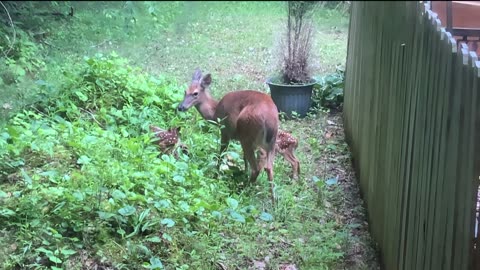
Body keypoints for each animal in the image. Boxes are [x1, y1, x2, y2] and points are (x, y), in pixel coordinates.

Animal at [177, 68, 280, 201]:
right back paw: (273, 199)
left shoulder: (225, 131)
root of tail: (270, 120)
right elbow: (243, 158)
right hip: (269, 141)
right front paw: (243, 173)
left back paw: (244, 191)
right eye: (185, 91)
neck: (215, 113)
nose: (180, 107)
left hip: (247, 133)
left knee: (257, 168)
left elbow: (221, 154)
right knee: (268, 167)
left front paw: (216, 176)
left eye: (195, 93)